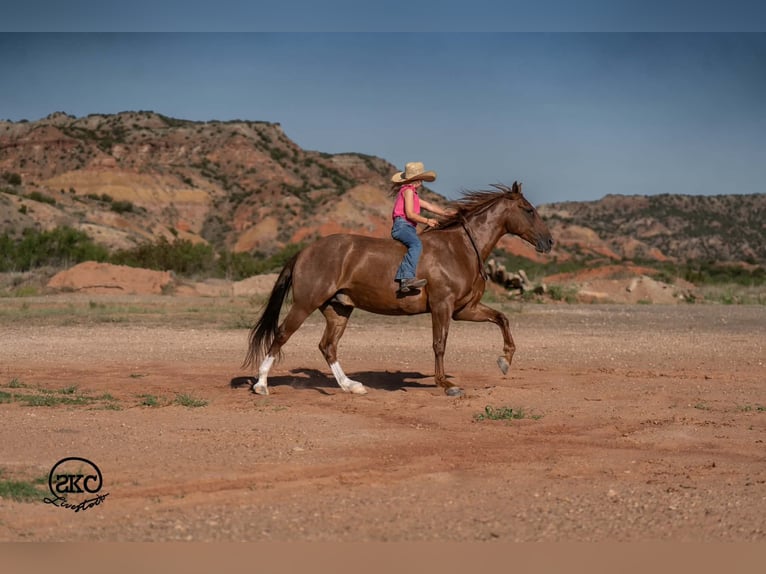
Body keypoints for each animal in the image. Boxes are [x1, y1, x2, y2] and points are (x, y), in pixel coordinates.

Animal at [242, 181, 553, 397]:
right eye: (528, 210)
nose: (549, 242)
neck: (460, 248)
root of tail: (304, 252)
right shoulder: (442, 306)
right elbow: (439, 344)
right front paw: (446, 384)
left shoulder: (464, 309)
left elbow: (502, 318)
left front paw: (505, 360)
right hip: (305, 304)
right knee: (282, 335)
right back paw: (261, 385)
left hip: (338, 309)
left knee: (327, 346)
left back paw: (352, 386)